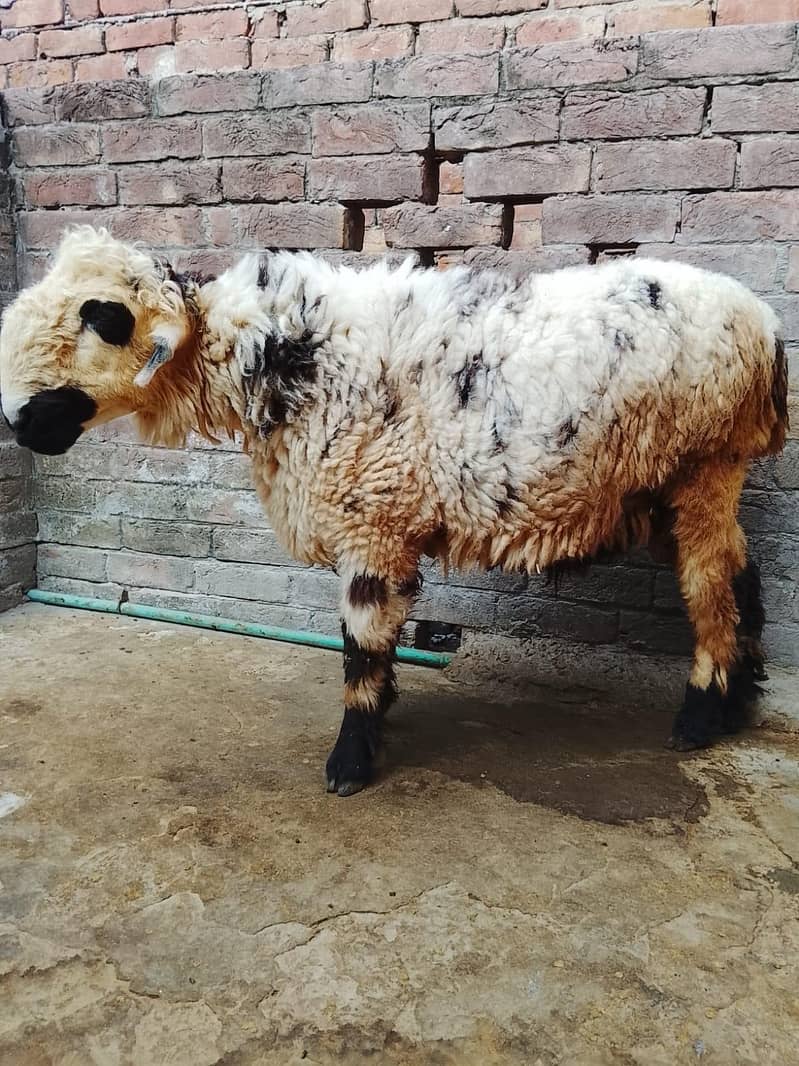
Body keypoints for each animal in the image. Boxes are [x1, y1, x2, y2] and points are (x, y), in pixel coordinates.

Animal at [0, 226, 788, 796]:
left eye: (104, 317)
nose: (16, 420)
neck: (275, 361)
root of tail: (766, 328)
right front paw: (379, 718)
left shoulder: (371, 521)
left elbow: (362, 645)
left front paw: (352, 759)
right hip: (678, 482)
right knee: (740, 576)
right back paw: (739, 700)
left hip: (704, 465)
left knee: (711, 586)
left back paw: (700, 714)